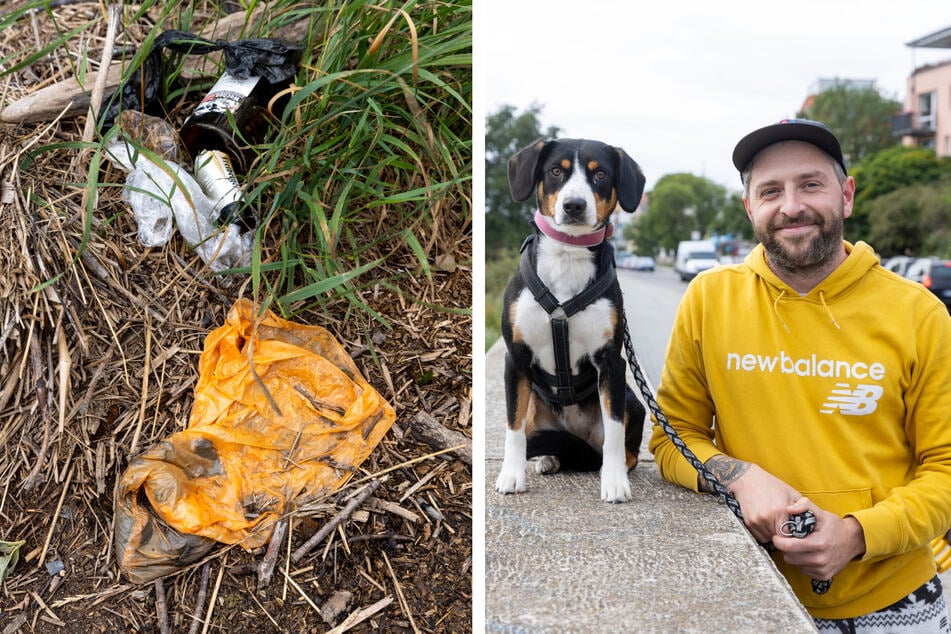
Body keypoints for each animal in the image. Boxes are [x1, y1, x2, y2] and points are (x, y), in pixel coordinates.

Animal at [498, 137, 648, 498]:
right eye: (556, 170)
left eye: (601, 174)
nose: (574, 205)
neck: (568, 255)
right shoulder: (516, 358)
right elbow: (513, 426)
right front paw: (511, 475)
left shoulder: (611, 362)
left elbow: (614, 432)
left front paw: (615, 482)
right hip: (536, 402)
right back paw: (549, 458)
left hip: (632, 400)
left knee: (623, 448)